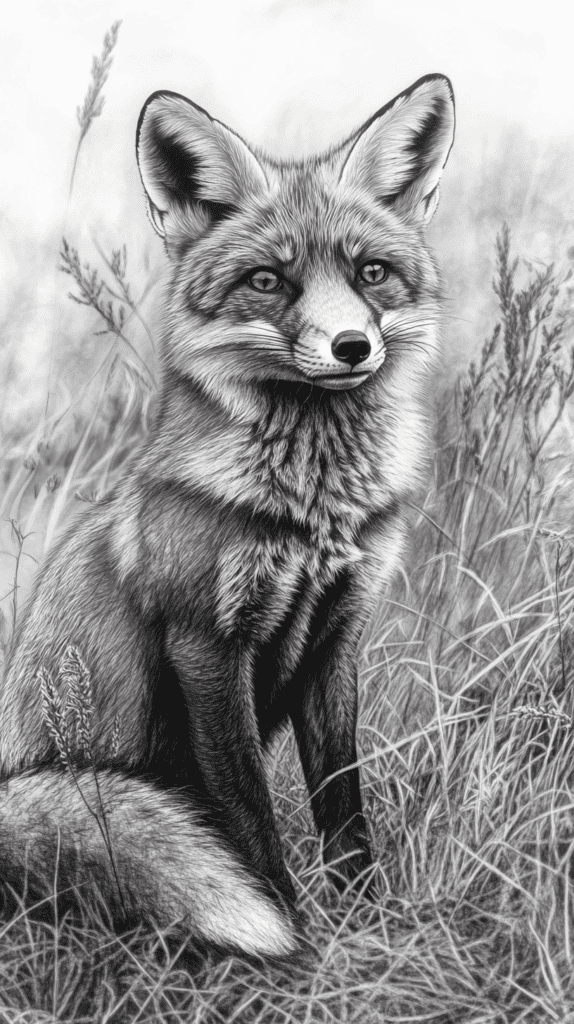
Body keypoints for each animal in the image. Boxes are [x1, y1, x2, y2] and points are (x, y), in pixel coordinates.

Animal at [0, 73, 455, 959]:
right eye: (269, 281)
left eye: (372, 273)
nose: (352, 347)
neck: (313, 516)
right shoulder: (207, 643)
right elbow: (248, 817)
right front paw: (295, 933)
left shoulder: (337, 636)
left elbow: (343, 804)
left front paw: (370, 922)